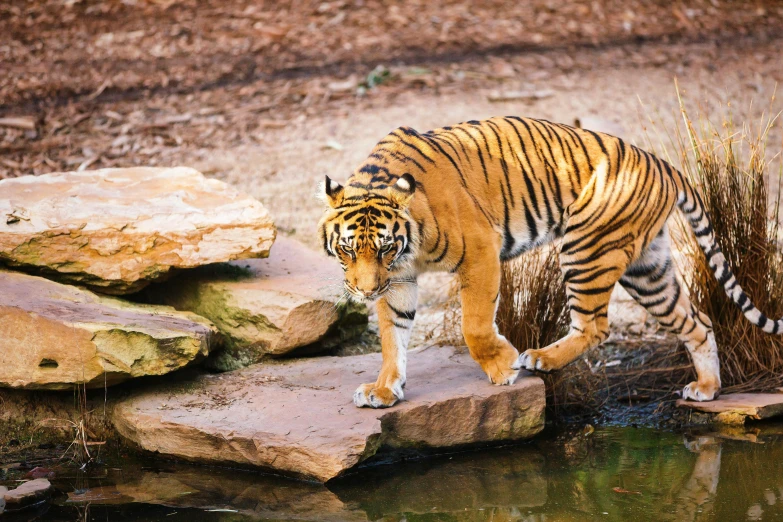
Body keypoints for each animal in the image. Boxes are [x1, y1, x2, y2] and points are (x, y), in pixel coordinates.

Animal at [318, 116, 783, 408]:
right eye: (348, 250)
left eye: (383, 248)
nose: (363, 290)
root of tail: (662, 163)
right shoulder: (398, 279)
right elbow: (392, 336)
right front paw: (384, 391)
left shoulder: (480, 251)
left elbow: (474, 325)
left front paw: (503, 367)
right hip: (647, 269)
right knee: (698, 322)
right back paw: (707, 387)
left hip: (586, 248)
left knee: (596, 326)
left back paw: (538, 358)